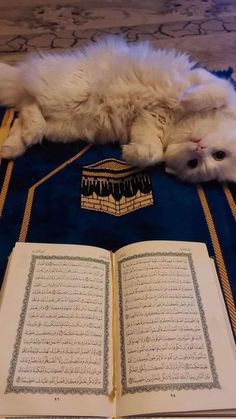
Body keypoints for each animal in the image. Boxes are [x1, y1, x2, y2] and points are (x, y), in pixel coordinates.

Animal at [0, 38, 236, 183]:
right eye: (219, 155)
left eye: (193, 164)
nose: (199, 147)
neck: (178, 123)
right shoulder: (211, 82)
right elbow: (215, 92)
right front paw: (185, 99)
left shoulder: (149, 120)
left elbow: (152, 153)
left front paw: (130, 153)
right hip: (68, 94)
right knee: (29, 101)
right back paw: (29, 133)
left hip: (63, 126)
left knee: (22, 114)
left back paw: (13, 146)